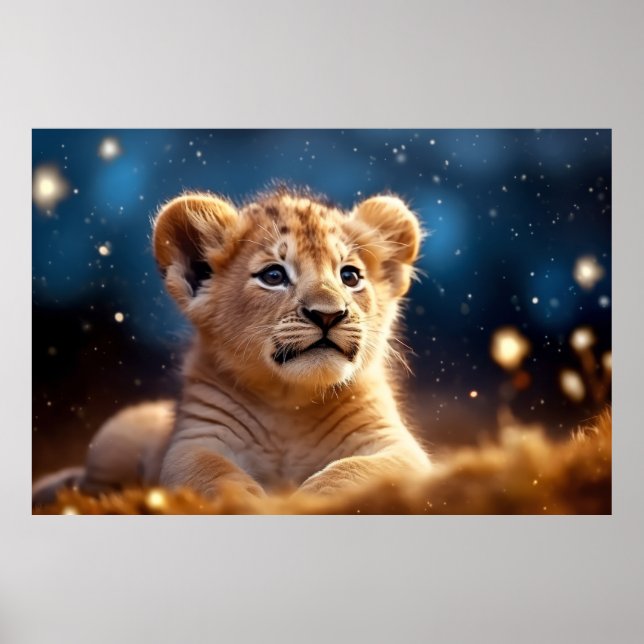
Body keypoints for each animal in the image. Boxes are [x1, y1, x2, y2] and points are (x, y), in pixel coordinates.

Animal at [33, 187, 432, 505]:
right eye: (273, 275)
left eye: (350, 276)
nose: (328, 314)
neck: (289, 401)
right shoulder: (195, 439)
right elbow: (209, 471)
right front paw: (246, 500)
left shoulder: (396, 444)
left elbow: (358, 471)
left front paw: (310, 497)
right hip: (114, 438)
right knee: (86, 486)